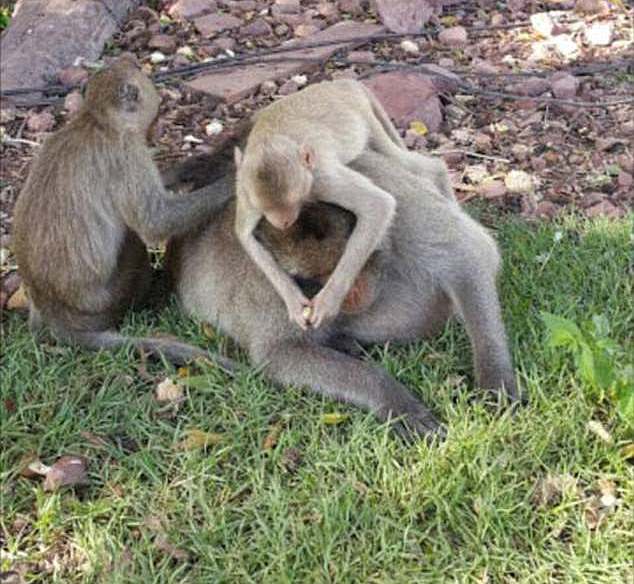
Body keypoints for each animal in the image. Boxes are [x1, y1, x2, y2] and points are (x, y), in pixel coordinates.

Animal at [11, 57, 235, 368]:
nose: (154, 132)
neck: (95, 120)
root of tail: (53, 310)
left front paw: (189, 167)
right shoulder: (126, 153)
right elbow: (155, 223)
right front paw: (232, 183)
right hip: (106, 299)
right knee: (133, 239)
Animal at [232, 80, 444, 330]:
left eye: (294, 201)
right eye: (267, 210)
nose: (282, 222)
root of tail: (340, 82)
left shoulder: (322, 180)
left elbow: (377, 205)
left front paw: (329, 299)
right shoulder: (245, 191)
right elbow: (244, 234)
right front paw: (293, 300)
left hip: (362, 116)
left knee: (413, 164)